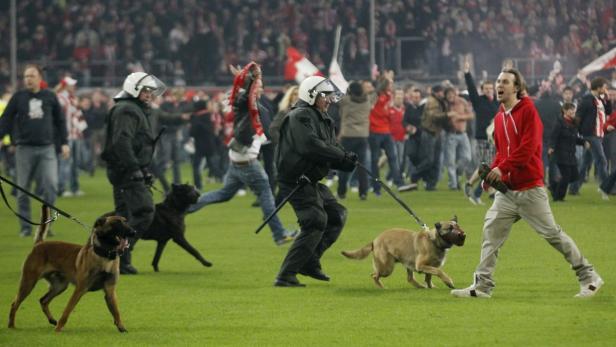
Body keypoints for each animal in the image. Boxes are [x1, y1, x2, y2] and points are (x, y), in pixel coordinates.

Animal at [8, 208, 136, 334]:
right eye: (116, 223)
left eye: (126, 221)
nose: (133, 232)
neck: (104, 256)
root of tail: (39, 244)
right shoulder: (80, 289)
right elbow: (67, 310)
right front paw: (58, 329)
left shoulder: (110, 290)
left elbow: (116, 312)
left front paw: (122, 328)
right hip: (28, 283)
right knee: (15, 303)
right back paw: (11, 326)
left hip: (60, 286)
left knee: (43, 300)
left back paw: (52, 320)